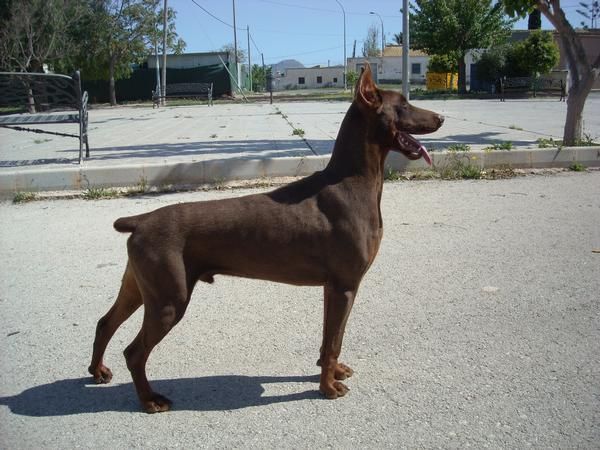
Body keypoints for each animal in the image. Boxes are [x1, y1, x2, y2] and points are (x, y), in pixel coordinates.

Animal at [90, 65, 446, 414]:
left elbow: (331, 339)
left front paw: (332, 371)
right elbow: (333, 340)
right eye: (403, 105)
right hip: (168, 299)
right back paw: (150, 399)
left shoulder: (334, 287)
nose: (441, 117)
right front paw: (327, 388)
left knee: (105, 323)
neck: (353, 181)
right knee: (134, 352)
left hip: (140, 287)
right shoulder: (345, 285)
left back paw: (97, 371)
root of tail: (140, 221)